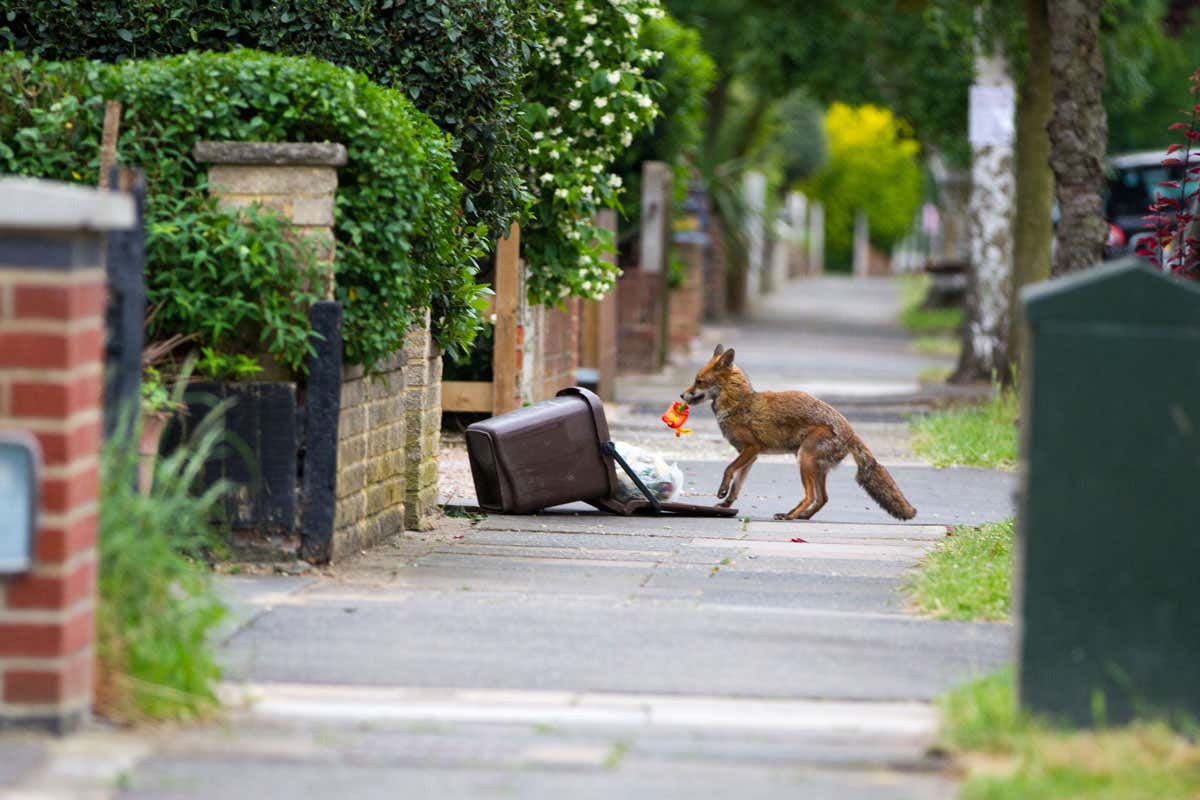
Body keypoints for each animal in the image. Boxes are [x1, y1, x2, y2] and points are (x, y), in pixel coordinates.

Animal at [680, 344, 917, 521]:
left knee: (810, 496)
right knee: (823, 499)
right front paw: (726, 503)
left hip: (805, 460)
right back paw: (801, 516)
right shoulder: (751, 456)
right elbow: (737, 484)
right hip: (816, 468)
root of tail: (850, 431)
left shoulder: (751, 448)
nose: (682, 395)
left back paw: (789, 516)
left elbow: (728, 469)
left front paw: (722, 490)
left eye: (699, 381)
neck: (738, 404)